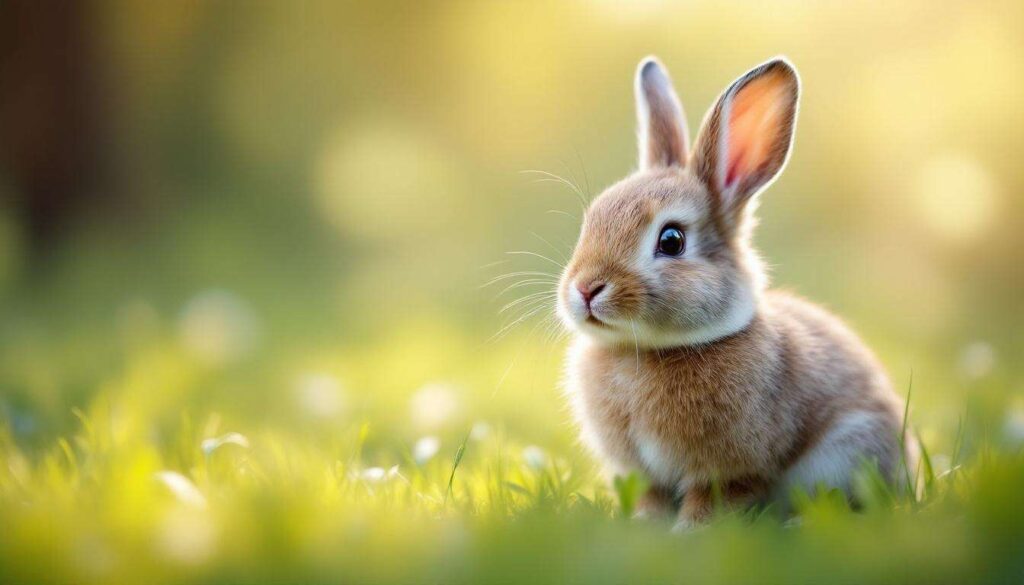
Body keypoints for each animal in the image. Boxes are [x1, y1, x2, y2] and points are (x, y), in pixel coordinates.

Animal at [556, 56, 916, 529]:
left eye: (671, 240)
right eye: (591, 220)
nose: (585, 288)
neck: (646, 351)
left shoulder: (729, 473)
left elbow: (710, 502)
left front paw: (688, 535)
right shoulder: (646, 476)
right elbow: (651, 500)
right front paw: (644, 528)